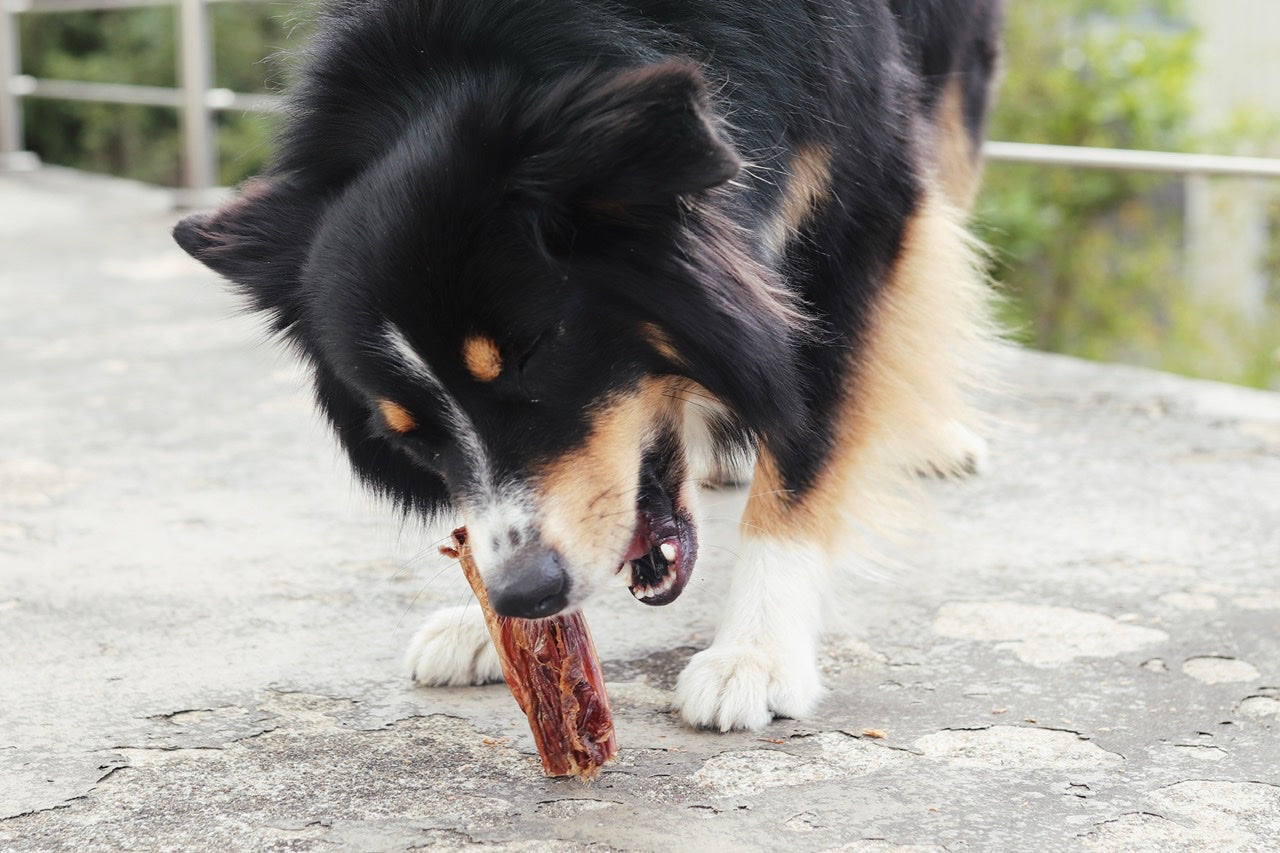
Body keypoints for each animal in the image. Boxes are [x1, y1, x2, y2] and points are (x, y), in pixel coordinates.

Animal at [175, 0, 1003, 732]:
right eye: (408, 434)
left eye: (533, 353)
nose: (525, 594)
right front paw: (484, 629)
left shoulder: (849, 170)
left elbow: (812, 429)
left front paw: (756, 658)